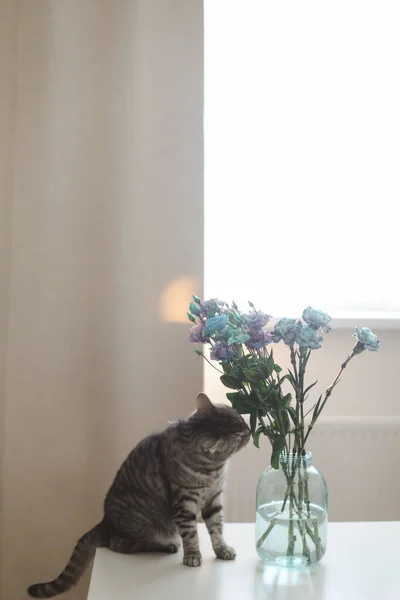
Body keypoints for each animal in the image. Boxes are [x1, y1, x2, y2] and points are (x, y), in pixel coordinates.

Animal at [27, 394, 250, 596]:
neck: (214, 470)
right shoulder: (184, 503)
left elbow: (217, 528)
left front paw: (222, 549)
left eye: (240, 418)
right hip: (143, 517)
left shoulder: (214, 497)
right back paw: (169, 545)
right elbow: (191, 534)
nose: (249, 431)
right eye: (239, 436)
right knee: (120, 544)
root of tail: (104, 522)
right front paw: (193, 555)